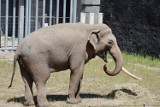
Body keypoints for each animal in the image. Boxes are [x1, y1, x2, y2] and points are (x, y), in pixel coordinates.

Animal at [8, 23, 140, 106]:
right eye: (110, 42)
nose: (105, 65)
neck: (91, 26)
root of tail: (17, 50)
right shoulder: (79, 50)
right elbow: (76, 70)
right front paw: (72, 102)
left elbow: (80, 73)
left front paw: (79, 101)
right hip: (37, 60)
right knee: (41, 80)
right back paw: (45, 104)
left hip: (25, 62)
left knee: (26, 80)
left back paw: (29, 104)